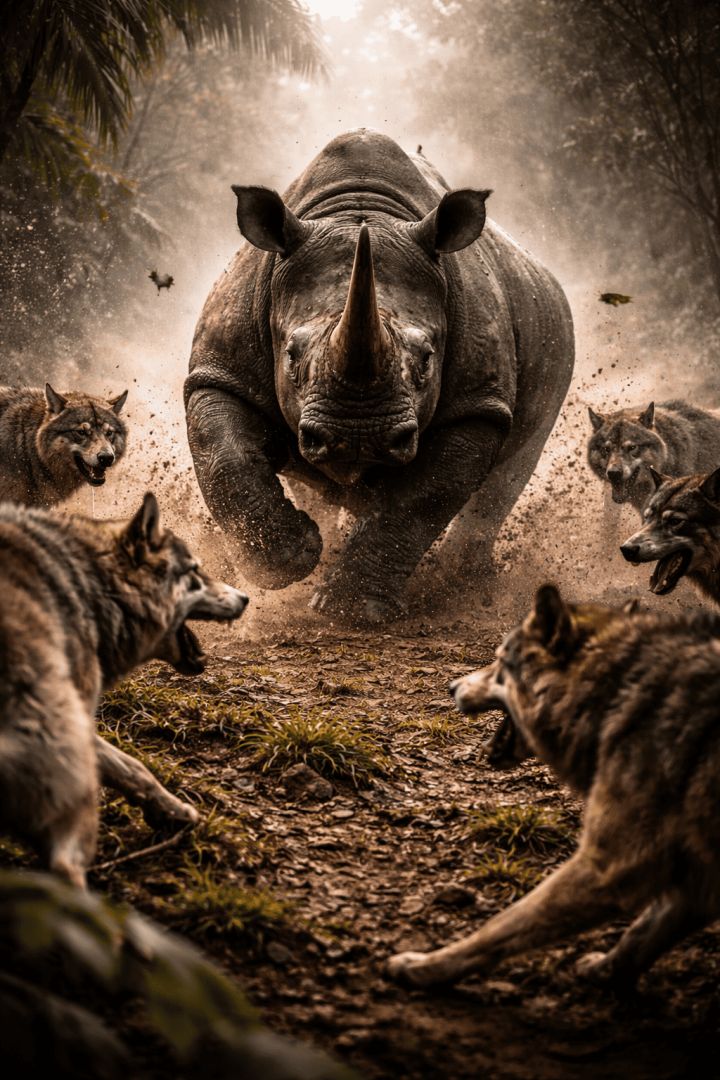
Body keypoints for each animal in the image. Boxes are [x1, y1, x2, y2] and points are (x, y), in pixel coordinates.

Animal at [0, 493, 248, 888]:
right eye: (195, 571)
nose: (246, 598)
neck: (95, 583)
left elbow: (132, 767)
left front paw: (172, 812)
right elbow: (131, 765)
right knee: (65, 865)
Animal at [185, 130, 574, 623]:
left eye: (426, 359)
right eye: (291, 355)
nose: (359, 439)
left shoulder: (477, 405)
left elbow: (421, 499)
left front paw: (351, 610)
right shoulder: (220, 370)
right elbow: (223, 453)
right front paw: (289, 559)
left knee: (510, 471)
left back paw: (460, 586)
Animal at [387, 584, 720, 989]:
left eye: (499, 662)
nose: (451, 686)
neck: (612, 690)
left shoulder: (610, 866)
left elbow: (500, 926)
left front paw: (425, 967)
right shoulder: (696, 882)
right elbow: (639, 937)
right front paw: (602, 973)